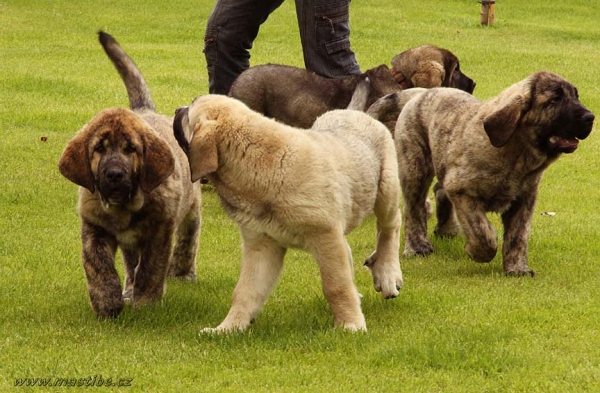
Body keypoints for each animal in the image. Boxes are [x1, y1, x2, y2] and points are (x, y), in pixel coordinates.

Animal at [175, 95, 404, 330]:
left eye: (188, 111)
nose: (176, 109)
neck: (265, 164)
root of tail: (356, 112)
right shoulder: (263, 244)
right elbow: (246, 290)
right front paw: (230, 327)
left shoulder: (326, 236)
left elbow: (336, 286)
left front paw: (351, 324)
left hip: (386, 188)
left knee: (390, 226)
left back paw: (388, 273)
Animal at [394, 72, 596, 276]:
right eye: (555, 99)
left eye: (576, 96)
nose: (591, 117)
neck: (516, 156)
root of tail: (423, 92)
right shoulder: (462, 192)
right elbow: (483, 234)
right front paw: (477, 252)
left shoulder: (524, 199)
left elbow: (518, 237)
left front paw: (517, 269)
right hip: (415, 169)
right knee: (414, 209)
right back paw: (417, 247)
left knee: (439, 192)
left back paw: (446, 229)